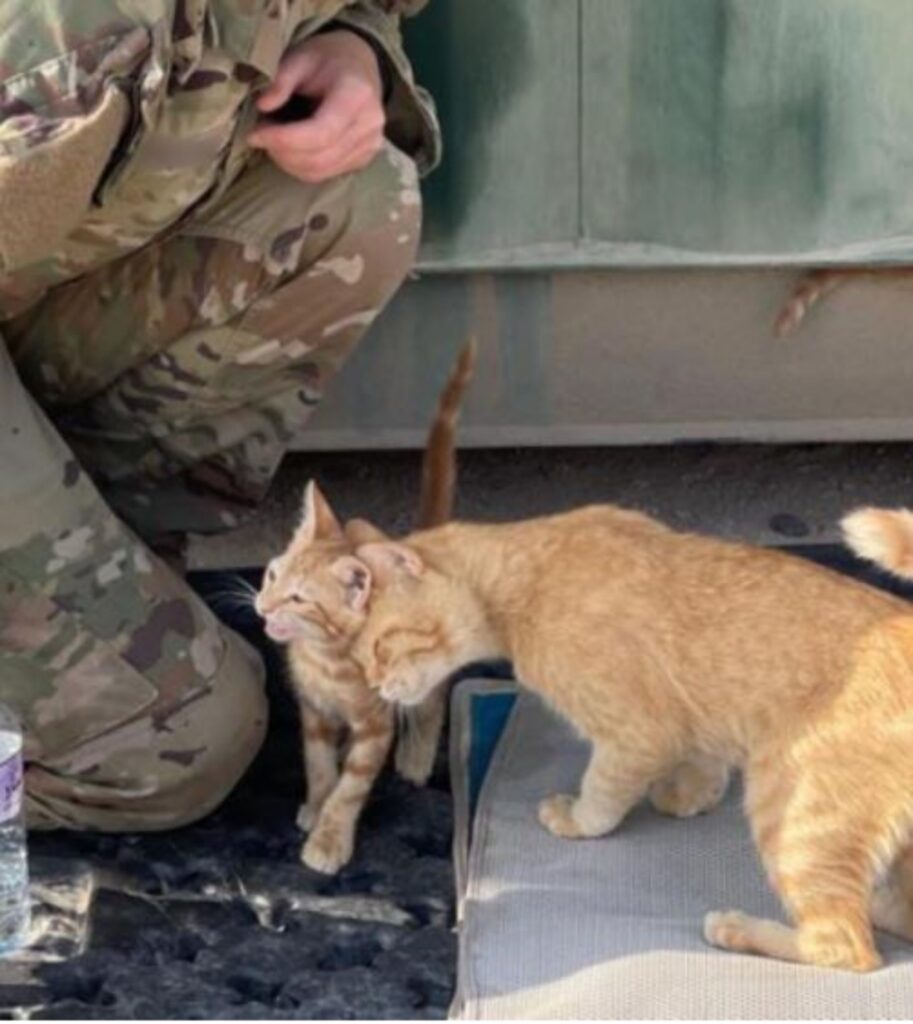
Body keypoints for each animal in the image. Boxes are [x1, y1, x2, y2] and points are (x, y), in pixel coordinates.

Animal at [341, 507, 913, 970]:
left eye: (378, 649)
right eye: (366, 658)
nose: (375, 686)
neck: (526, 575)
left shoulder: (635, 734)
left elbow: (602, 794)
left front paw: (577, 818)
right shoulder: (691, 718)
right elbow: (703, 760)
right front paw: (687, 796)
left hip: (796, 814)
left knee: (846, 944)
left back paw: (740, 928)